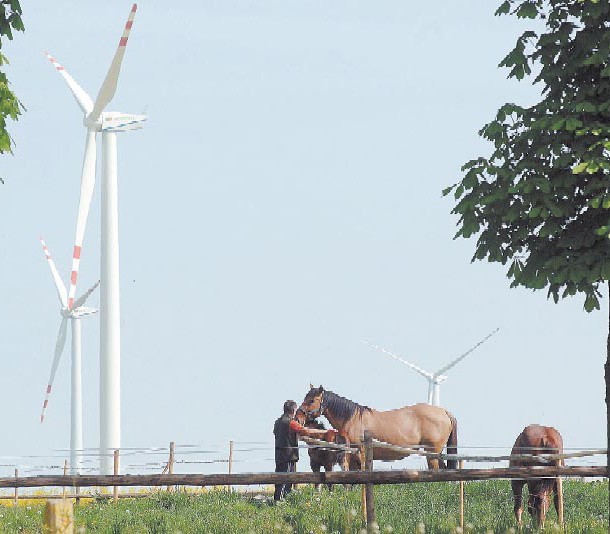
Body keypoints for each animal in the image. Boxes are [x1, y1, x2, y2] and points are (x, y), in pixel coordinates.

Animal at [296, 388, 458, 472]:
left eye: (312, 400)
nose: (298, 416)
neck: (353, 418)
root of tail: (444, 411)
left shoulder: (358, 453)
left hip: (432, 453)